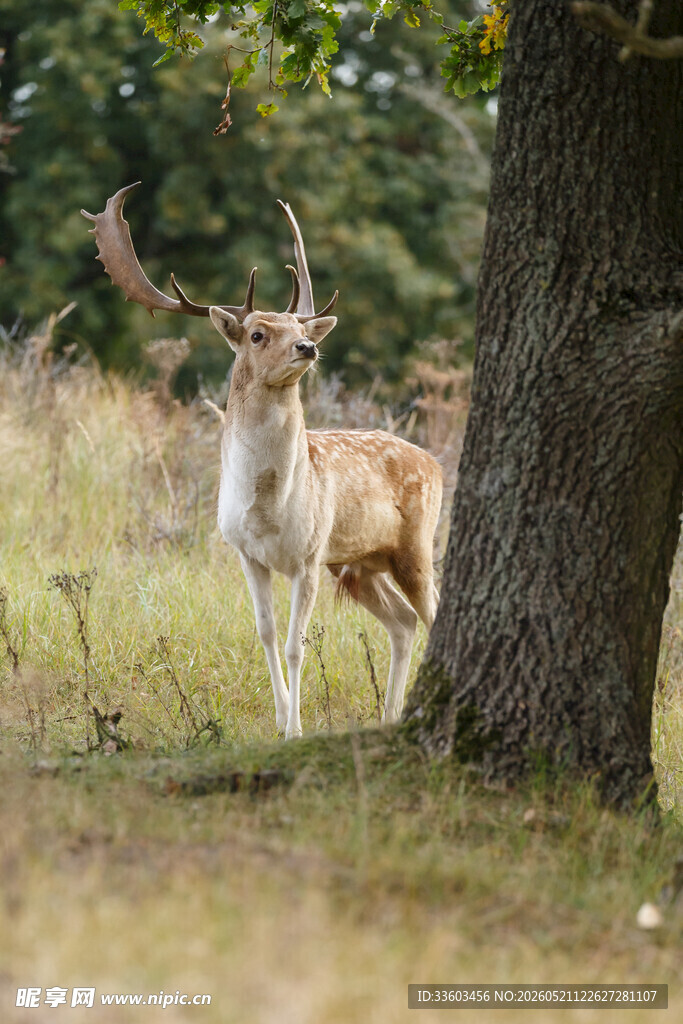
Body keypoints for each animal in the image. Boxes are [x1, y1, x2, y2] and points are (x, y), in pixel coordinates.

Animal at [82, 183, 442, 739]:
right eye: (257, 333)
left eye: (296, 324)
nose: (309, 346)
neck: (267, 507)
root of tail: (437, 463)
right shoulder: (246, 553)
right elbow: (267, 634)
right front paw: (280, 718)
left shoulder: (308, 556)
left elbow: (296, 645)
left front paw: (295, 729)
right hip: (361, 563)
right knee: (402, 624)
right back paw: (389, 716)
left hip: (414, 545)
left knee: (432, 616)